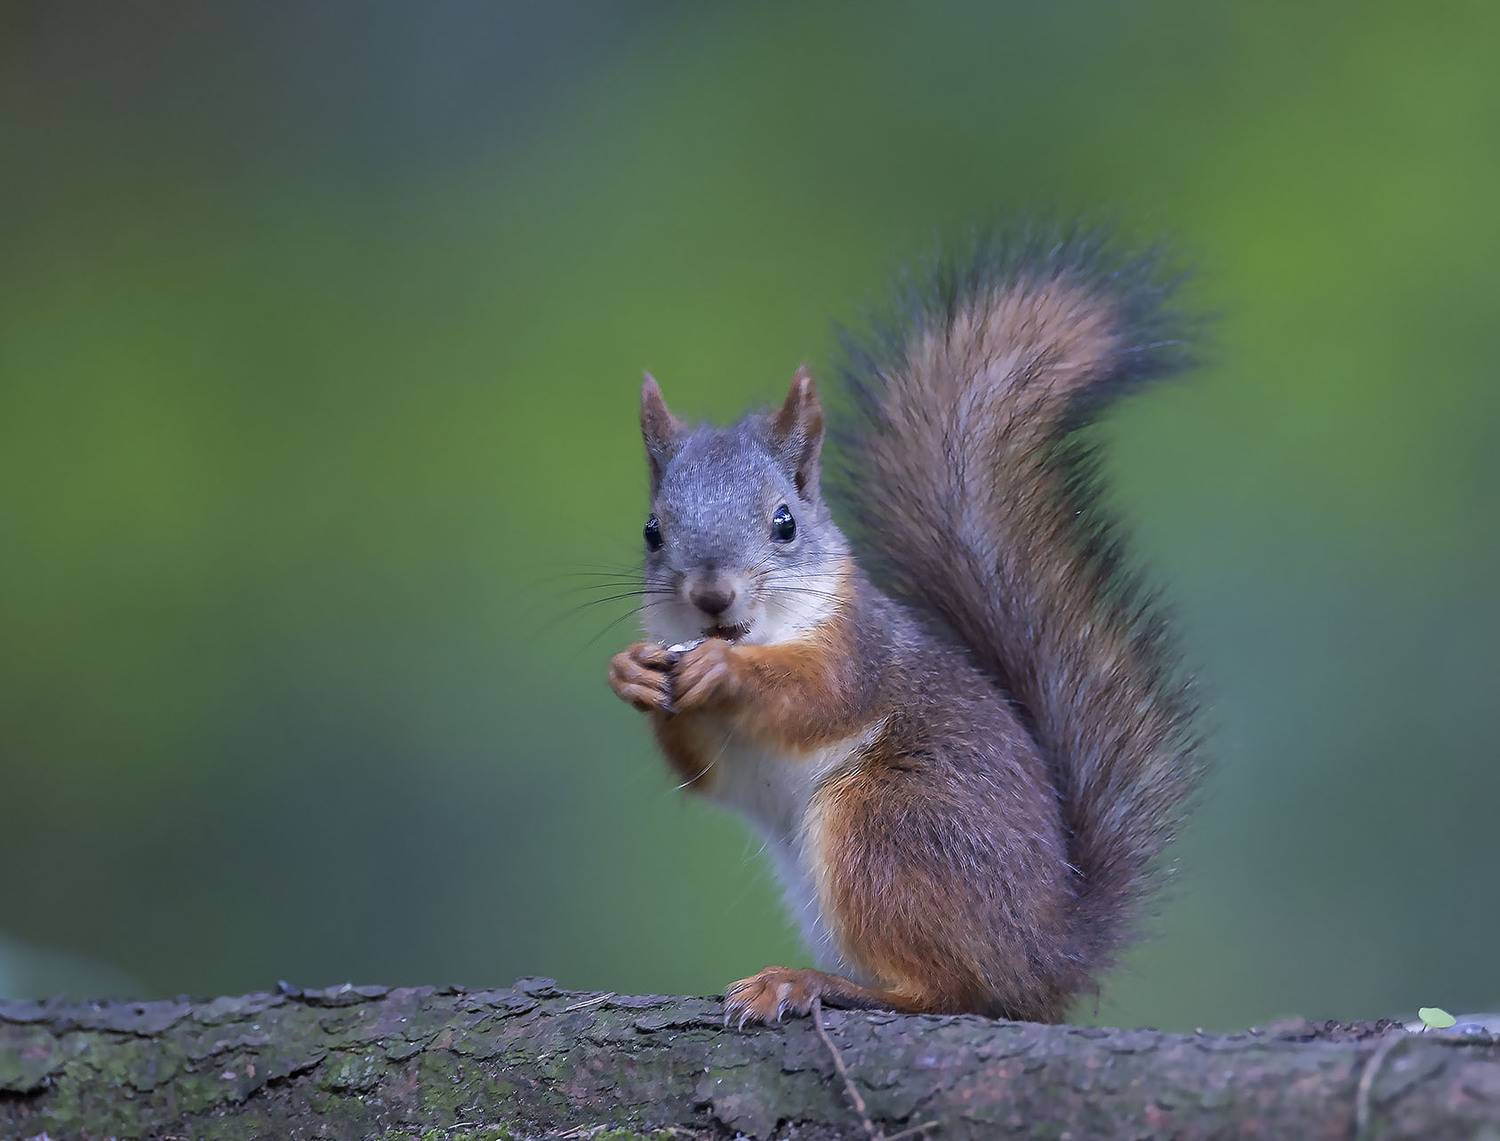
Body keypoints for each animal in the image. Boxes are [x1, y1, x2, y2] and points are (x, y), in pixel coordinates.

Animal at [607, 231, 1202, 1026]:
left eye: (784, 522)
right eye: (651, 531)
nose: (710, 595)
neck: (764, 633)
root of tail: (1046, 956)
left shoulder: (859, 648)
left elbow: (817, 695)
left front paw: (724, 672)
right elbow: (703, 768)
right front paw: (632, 672)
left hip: (887, 824)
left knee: (947, 990)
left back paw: (809, 982)